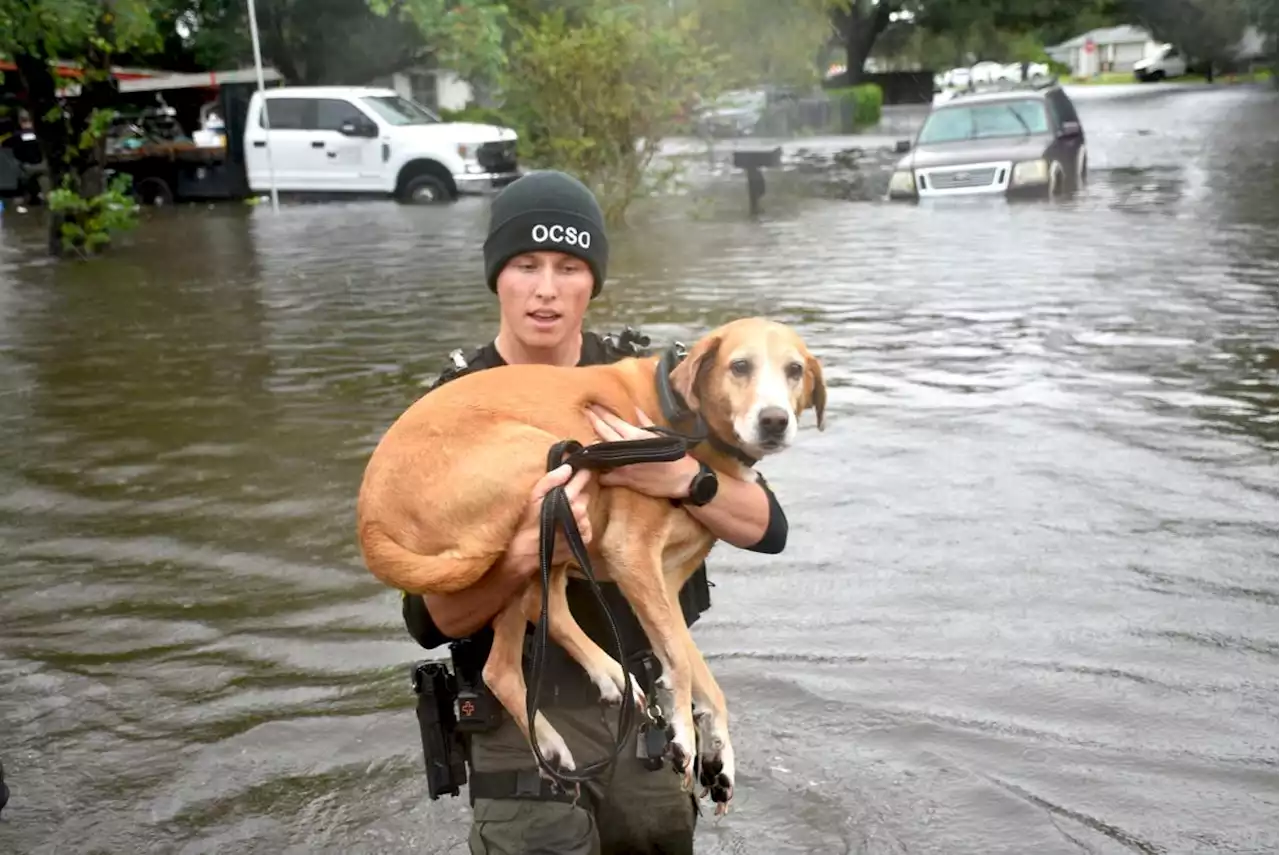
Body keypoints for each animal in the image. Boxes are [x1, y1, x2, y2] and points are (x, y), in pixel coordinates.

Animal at [355, 317, 824, 814]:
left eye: (795, 370)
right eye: (739, 366)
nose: (774, 420)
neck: (682, 419)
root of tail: (370, 519)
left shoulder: (665, 585)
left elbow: (703, 677)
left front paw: (719, 755)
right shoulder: (631, 554)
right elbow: (679, 662)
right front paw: (683, 734)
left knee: (534, 623)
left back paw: (598, 688)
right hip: (547, 476)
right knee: (509, 652)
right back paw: (568, 723)